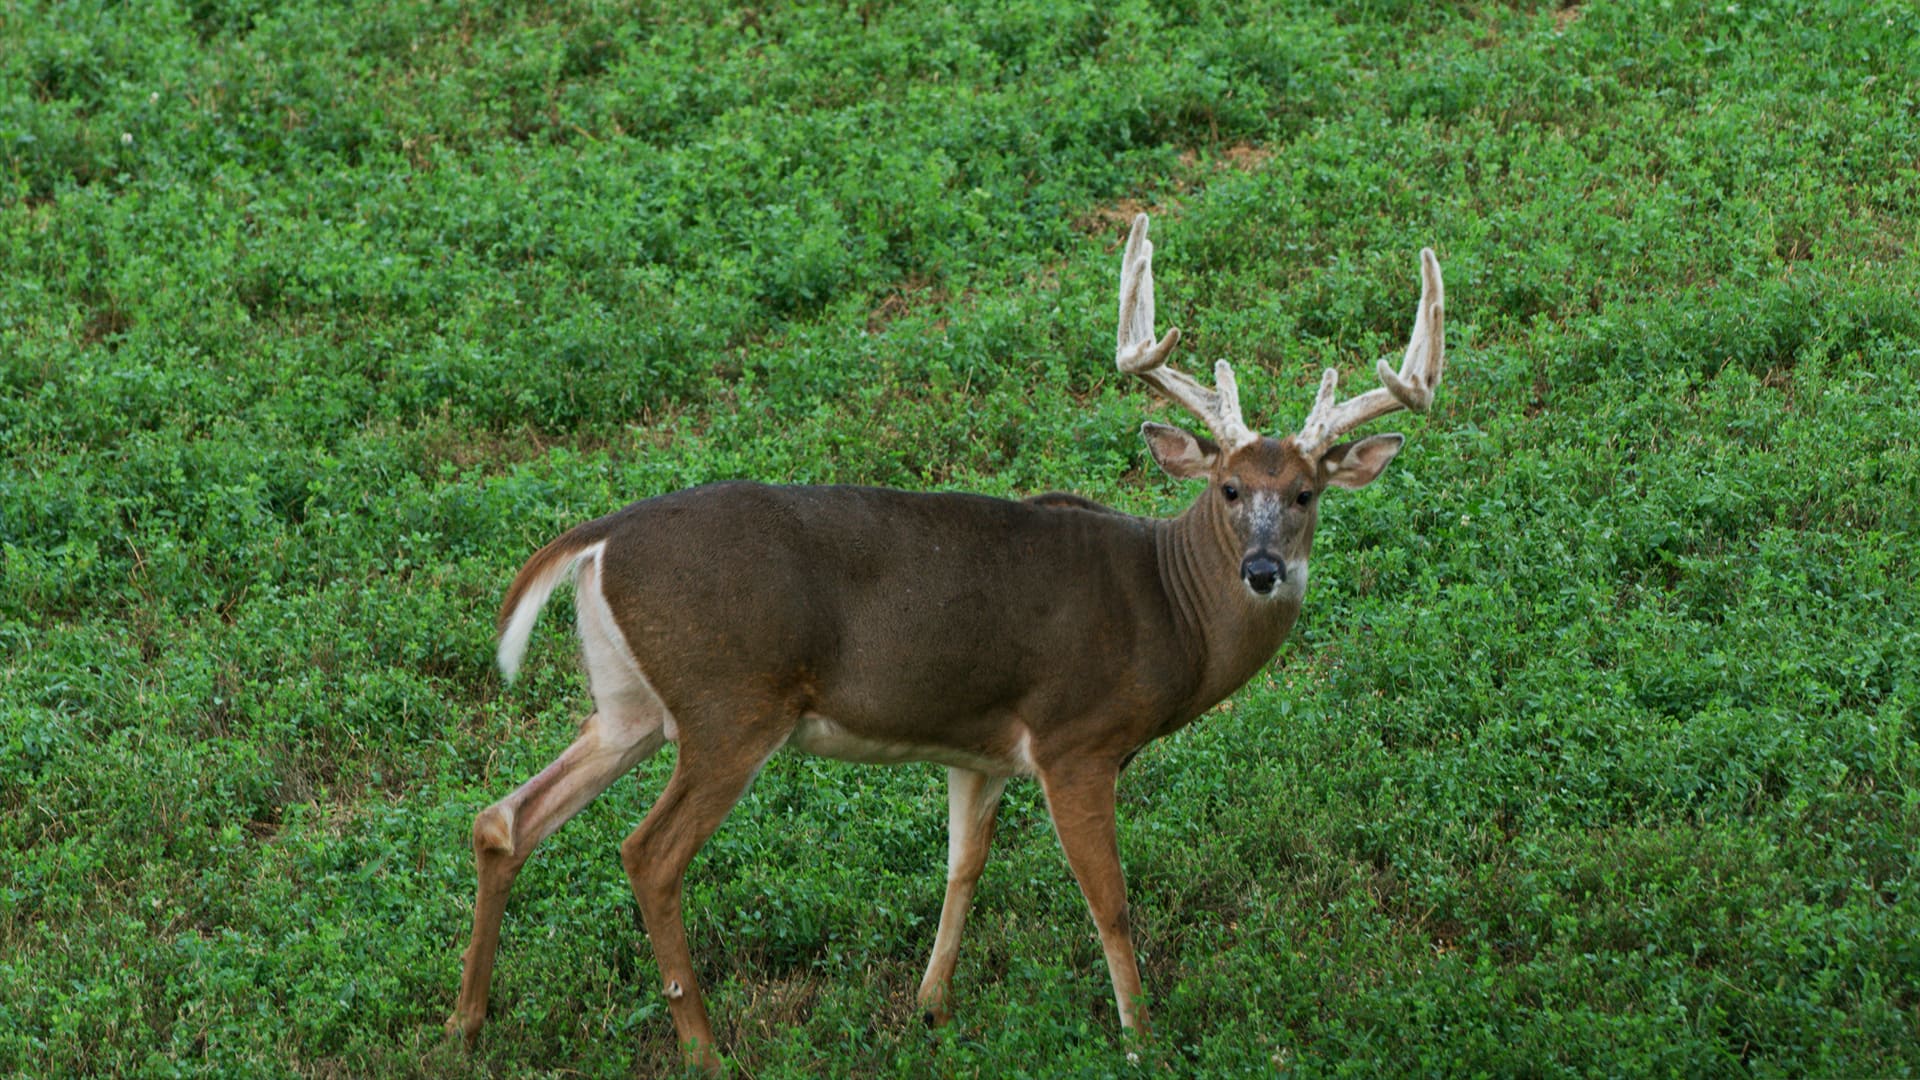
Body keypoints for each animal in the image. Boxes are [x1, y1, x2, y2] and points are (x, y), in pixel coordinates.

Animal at [449, 214, 1443, 1060]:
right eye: (1231, 489)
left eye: (1306, 492)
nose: (1264, 570)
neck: (1170, 608)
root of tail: (597, 538)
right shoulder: (1077, 738)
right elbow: (1110, 901)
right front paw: (1141, 1038)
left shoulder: (980, 748)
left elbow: (962, 867)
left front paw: (931, 1008)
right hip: (729, 700)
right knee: (647, 854)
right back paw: (702, 1048)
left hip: (628, 704)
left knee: (505, 817)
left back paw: (467, 1020)